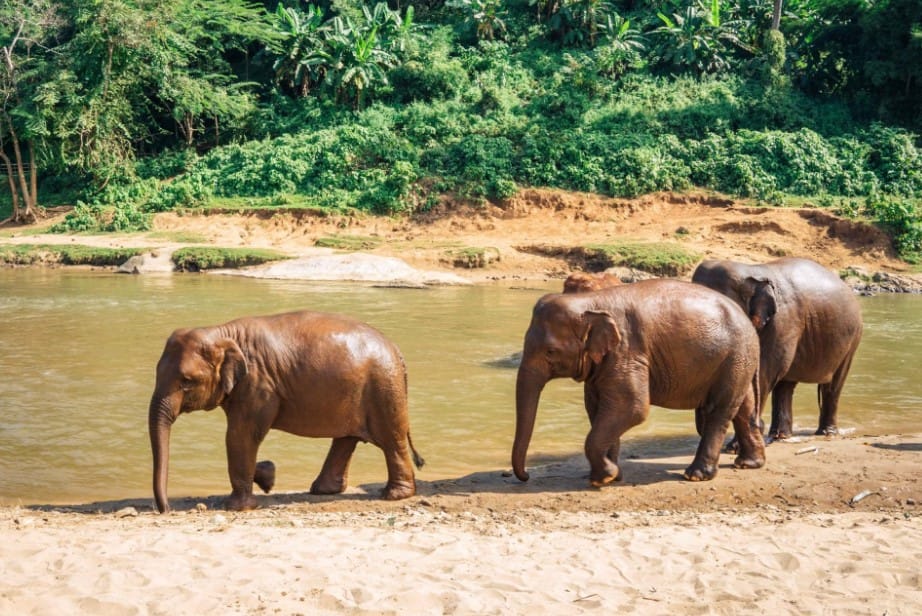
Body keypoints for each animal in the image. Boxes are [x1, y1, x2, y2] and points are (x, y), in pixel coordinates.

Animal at [148, 310, 425, 513]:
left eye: (186, 381)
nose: (166, 509)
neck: (221, 332)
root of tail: (397, 351)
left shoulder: (258, 384)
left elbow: (240, 435)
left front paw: (238, 507)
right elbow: (241, 437)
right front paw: (268, 476)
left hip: (383, 387)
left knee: (391, 440)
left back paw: (394, 495)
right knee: (346, 440)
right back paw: (323, 490)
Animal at [511, 279, 765, 487]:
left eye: (550, 351)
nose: (526, 476)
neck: (591, 301)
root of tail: (748, 321)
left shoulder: (627, 351)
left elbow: (632, 407)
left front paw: (604, 477)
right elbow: (598, 408)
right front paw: (610, 476)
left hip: (735, 356)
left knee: (718, 410)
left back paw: (696, 475)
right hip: (739, 360)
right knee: (743, 408)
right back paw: (749, 463)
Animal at [691, 257, 863, 441]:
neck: (751, 271)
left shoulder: (784, 320)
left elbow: (766, 370)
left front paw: (735, 445)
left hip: (852, 337)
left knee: (833, 385)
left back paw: (826, 433)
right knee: (785, 385)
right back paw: (781, 436)